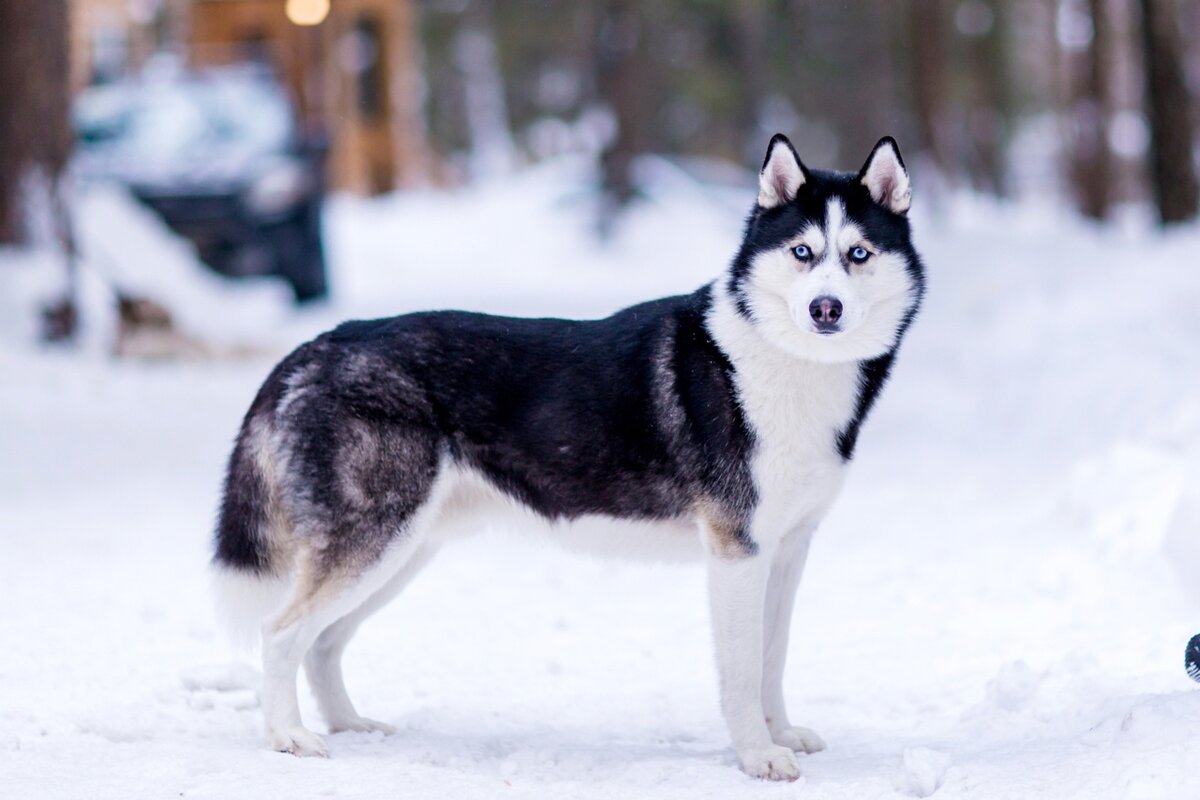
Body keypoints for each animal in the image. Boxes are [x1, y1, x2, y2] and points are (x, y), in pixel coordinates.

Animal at [213, 134, 926, 777]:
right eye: (803, 252)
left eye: (858, 254)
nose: (826, 307)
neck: (781, 365)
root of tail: (319, 344)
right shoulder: (737, 553)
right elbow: (743, 669)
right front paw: (757, 756)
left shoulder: (787, 549)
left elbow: (772, 657)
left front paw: (780, 734)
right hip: (376, 542)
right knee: (281, 634)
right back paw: (291, 738)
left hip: (403, 551)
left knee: (323, 643)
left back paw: (350, 725)